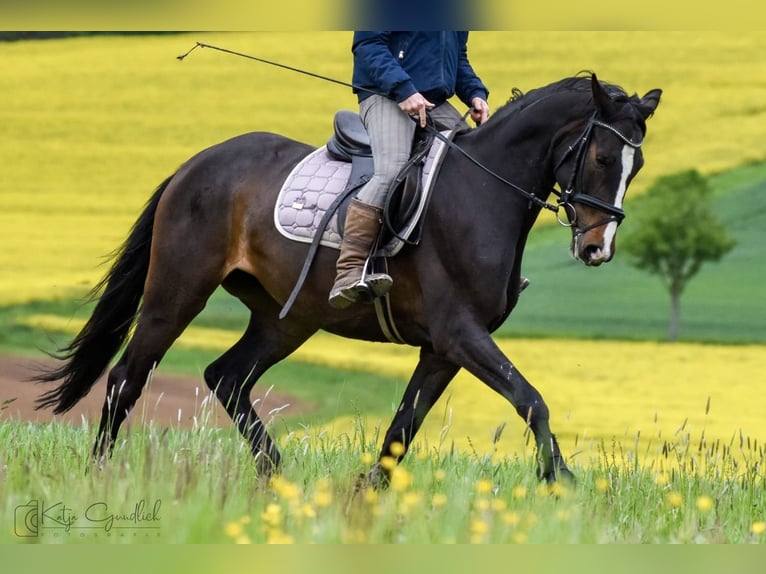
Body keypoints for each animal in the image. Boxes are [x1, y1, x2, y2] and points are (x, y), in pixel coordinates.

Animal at [34, 73, 660, 486]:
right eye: (603, 158)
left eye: (637, 167)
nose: (596, 248)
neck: (483, 191)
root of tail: (197, 163)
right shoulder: (460, 333)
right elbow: (531, 401)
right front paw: (561, 483)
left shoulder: (443, 349)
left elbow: (403, 427)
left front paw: (367, 495)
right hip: (177, 293)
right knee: (127, 379)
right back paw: (99, 475)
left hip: (286, 318)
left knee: (227, 377)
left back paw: (275, 475)